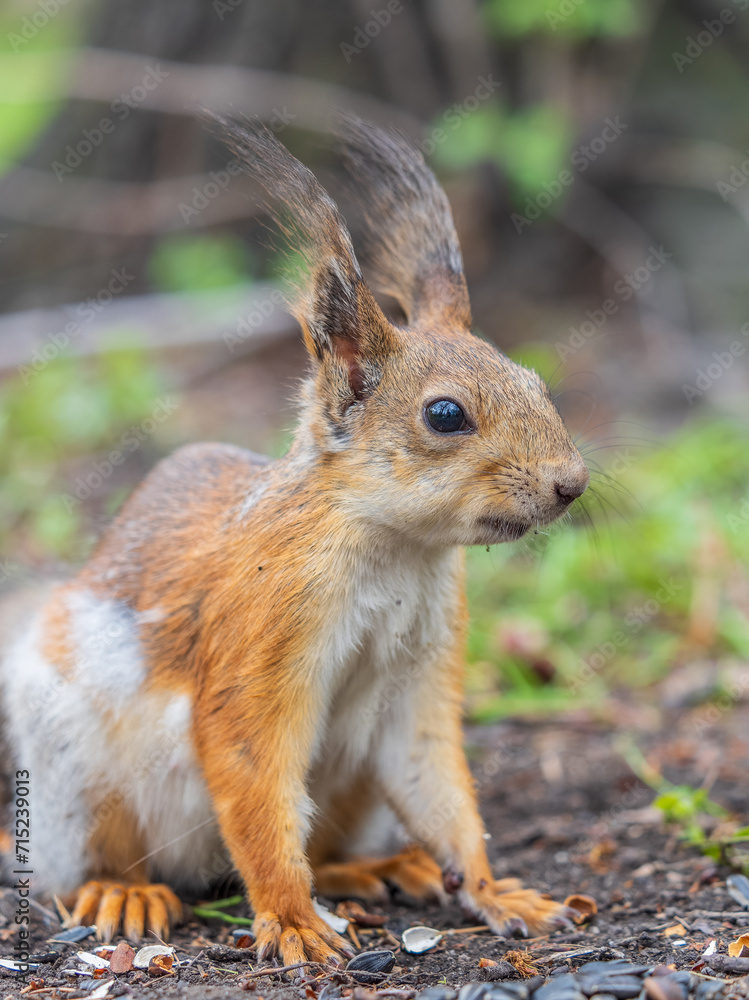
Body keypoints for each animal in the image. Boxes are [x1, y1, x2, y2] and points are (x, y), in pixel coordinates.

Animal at [0, 115, 589, 967]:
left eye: (536, 383)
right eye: (446, 415)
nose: (571, 483)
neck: (395, 549)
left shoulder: (423, 667)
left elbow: (434, 774)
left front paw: (492, 889)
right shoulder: (261, 621)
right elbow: (251, 771)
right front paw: (290, 919)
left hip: (350, 782)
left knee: (334, 839)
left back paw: (379, 868)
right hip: (79, 767)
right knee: (93, 860)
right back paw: (122, 890)